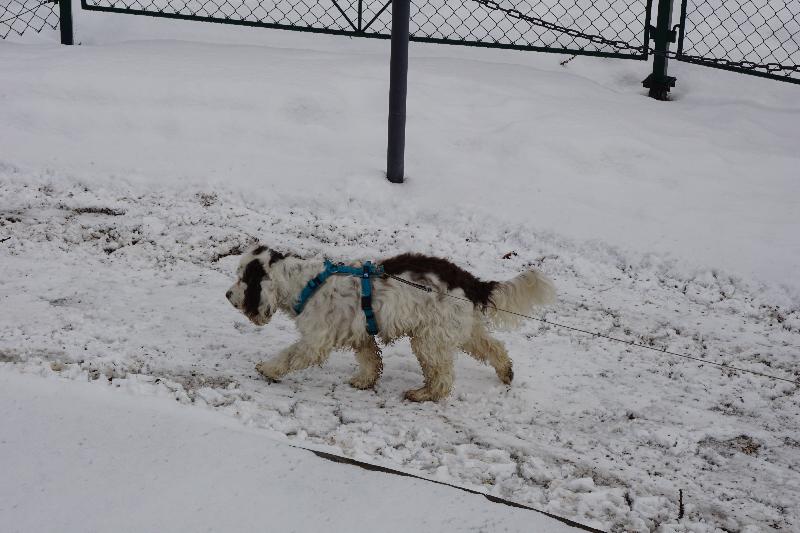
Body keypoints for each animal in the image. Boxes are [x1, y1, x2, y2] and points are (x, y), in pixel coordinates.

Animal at [226, 245, 555, 401]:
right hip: (462, 331)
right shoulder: (360, 334)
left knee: (443, 378)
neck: (306, 284)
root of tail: (471, 282)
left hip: (429, 339)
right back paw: (506, 373)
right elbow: (371, 359)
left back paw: (423, 394)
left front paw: (267, 369)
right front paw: (364, 381)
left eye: (243, 278)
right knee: (495, 347)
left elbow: (289, 355)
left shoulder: (314, 341)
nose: (228, 294)